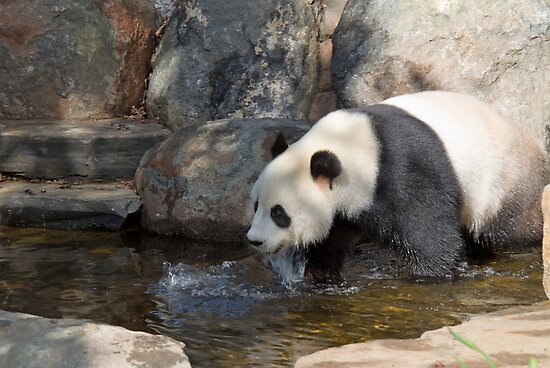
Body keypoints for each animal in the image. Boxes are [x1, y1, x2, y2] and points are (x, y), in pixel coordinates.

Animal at [248, 90, 548, 284]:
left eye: (279, 213)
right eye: (256, 205)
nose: (254, 240)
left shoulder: (403, 170)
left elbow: (428, 232)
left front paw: (427, 274)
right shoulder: (347, 206)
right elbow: (332, 236)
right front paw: (319, 273)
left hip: (503, 182)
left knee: (512, 227)